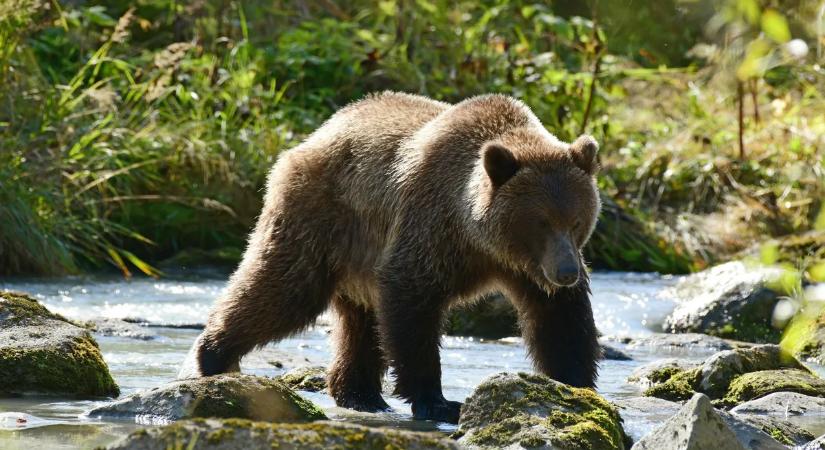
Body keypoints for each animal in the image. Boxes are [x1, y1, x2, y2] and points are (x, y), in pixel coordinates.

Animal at [179, 92, 602, 424]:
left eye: (576, 221)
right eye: (540, 222)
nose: (567, 271)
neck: (479, 238)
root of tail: (315, 135)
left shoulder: (527, 269)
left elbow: (559, 319)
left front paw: (576, 385)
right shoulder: (431, 227)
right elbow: (412, 301)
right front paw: (438, 401)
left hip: (356, 254)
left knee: (359, 323)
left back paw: (360, 393)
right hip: (321, 218)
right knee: (283, 288)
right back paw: (213, 355)